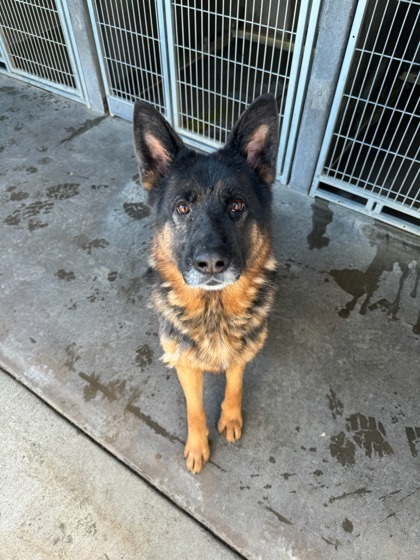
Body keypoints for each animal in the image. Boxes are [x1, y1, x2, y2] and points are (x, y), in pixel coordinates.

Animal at [134, 96, 278, 472]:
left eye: (237, 205)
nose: (211, 263)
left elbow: (235, 384)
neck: (214, 310)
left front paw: (230, 417)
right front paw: (198, 445)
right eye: (183, 207)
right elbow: (194, 407)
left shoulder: (244, 352)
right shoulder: (185, 364)